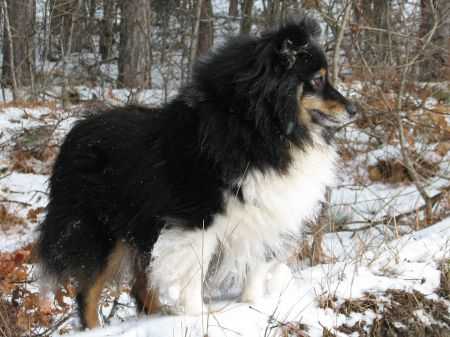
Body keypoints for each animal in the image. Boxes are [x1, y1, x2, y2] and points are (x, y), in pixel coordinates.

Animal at [37, 16, 356, 328]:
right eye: (317, 79)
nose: (354, 110)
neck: (258, 128)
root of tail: (73, 135)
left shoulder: (263, 216)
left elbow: (255, 268)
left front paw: (251, 305)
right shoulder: (195, 221)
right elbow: (193, 272)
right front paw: (196, 316)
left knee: (139, 287)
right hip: (101, 232)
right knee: (88, 293)